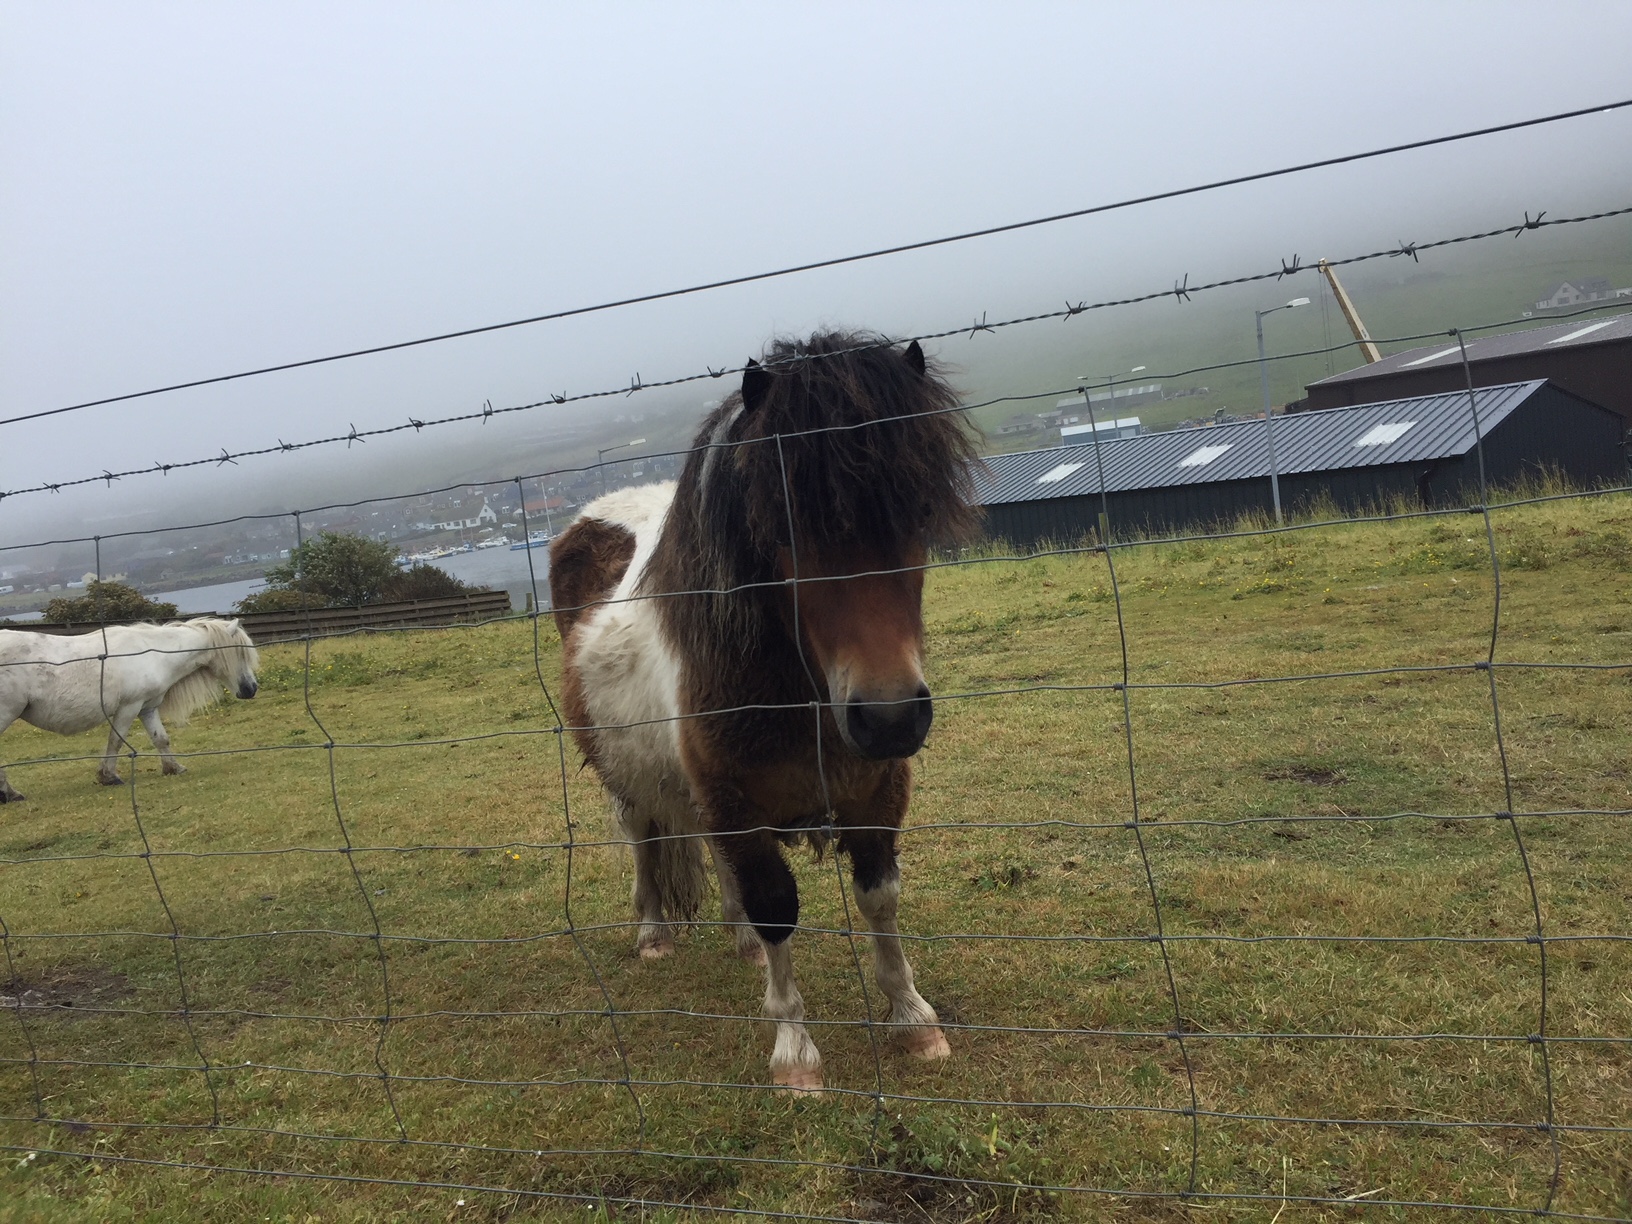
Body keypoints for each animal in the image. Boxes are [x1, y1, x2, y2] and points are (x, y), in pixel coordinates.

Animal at [0, 616, 257, 799]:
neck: (153, 654)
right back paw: (9, 793)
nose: (252, 688)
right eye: (240, 652)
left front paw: (174, 767)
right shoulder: (128, 708)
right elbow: (116, 740)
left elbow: (161, 739)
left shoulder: (147, 708)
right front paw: (109, 776)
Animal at [554, 332, 972, 1090]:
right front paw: (795, 1054)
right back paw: (654, 934)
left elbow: (880, 897)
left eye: (920, 512)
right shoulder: (737, 801)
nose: (890, 716)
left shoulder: (875, 793)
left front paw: (912, 1019)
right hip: (627, 775)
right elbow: (778, 909)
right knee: (643, 840)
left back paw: (739, 938)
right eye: (782, 528)